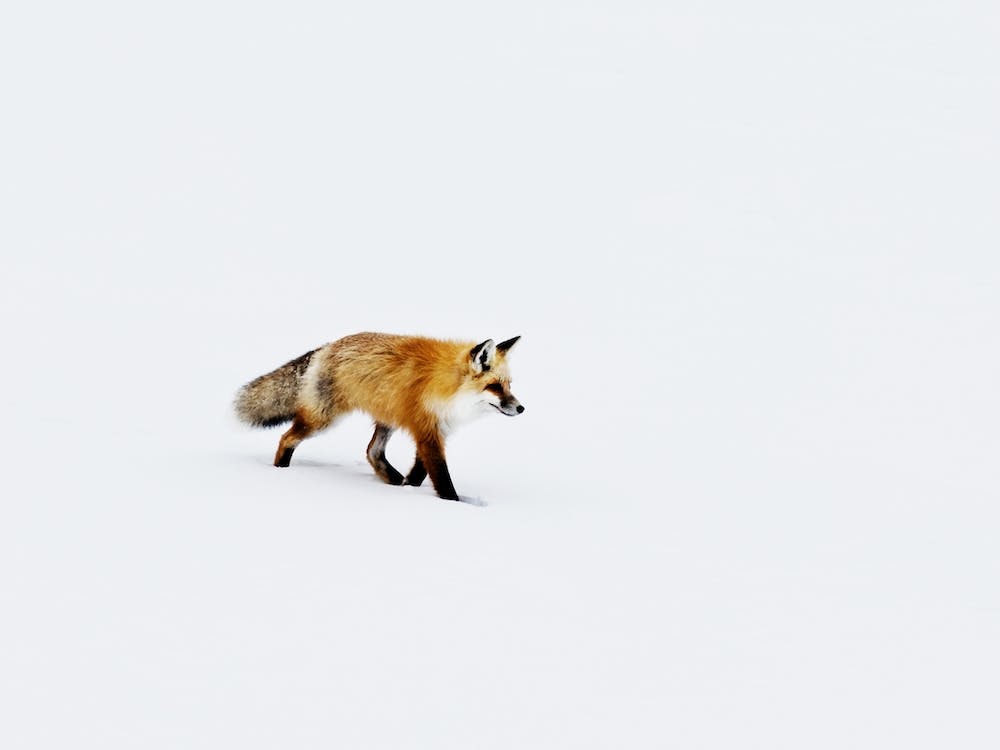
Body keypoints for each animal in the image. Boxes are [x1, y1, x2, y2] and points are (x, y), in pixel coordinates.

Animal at [234, 333, 525, 501]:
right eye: (495, 387)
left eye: (509, 385)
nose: (521, 408)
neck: (446, 388)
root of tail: (327, 346)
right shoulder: (426, 430)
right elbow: (441, 476)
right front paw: (452, 503)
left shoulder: (433, 429)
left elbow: (420, 471)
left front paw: (409, 488)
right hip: (322, 419)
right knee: (287, 437)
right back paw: (280, 471)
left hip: (388, 418)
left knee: (372, 452)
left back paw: (393, 481)